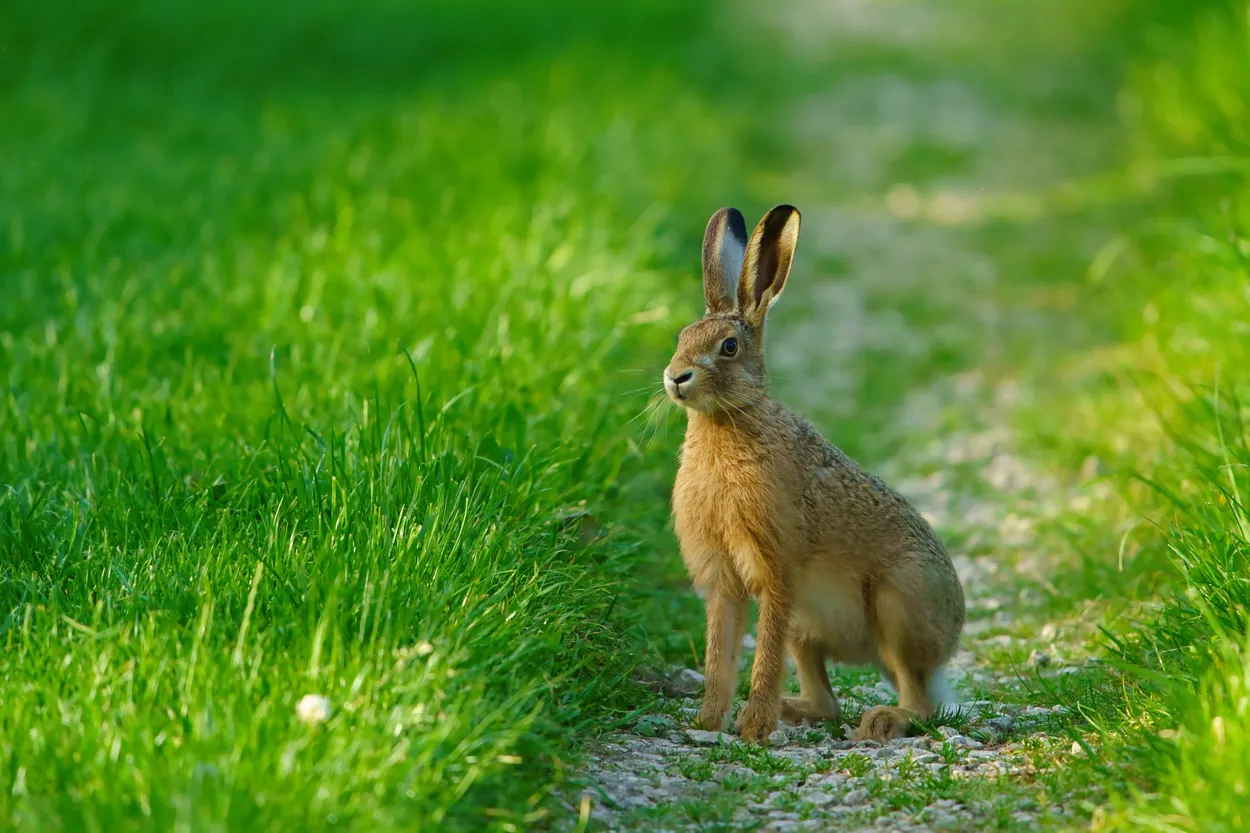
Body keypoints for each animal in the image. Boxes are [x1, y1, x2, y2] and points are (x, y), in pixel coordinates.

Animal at [662, 205, 965, 744]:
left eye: (729, 347)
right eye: (681, 338)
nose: (676, 377)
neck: (729, 419)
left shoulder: (777, 568)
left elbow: (763, 651)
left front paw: (753, 729)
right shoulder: (724, 582)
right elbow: (720, 654)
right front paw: (708, 722)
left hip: (899, 606)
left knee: (920, 702)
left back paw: (882, 721)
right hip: (808, 631)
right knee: (828, 701)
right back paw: (793, 710)